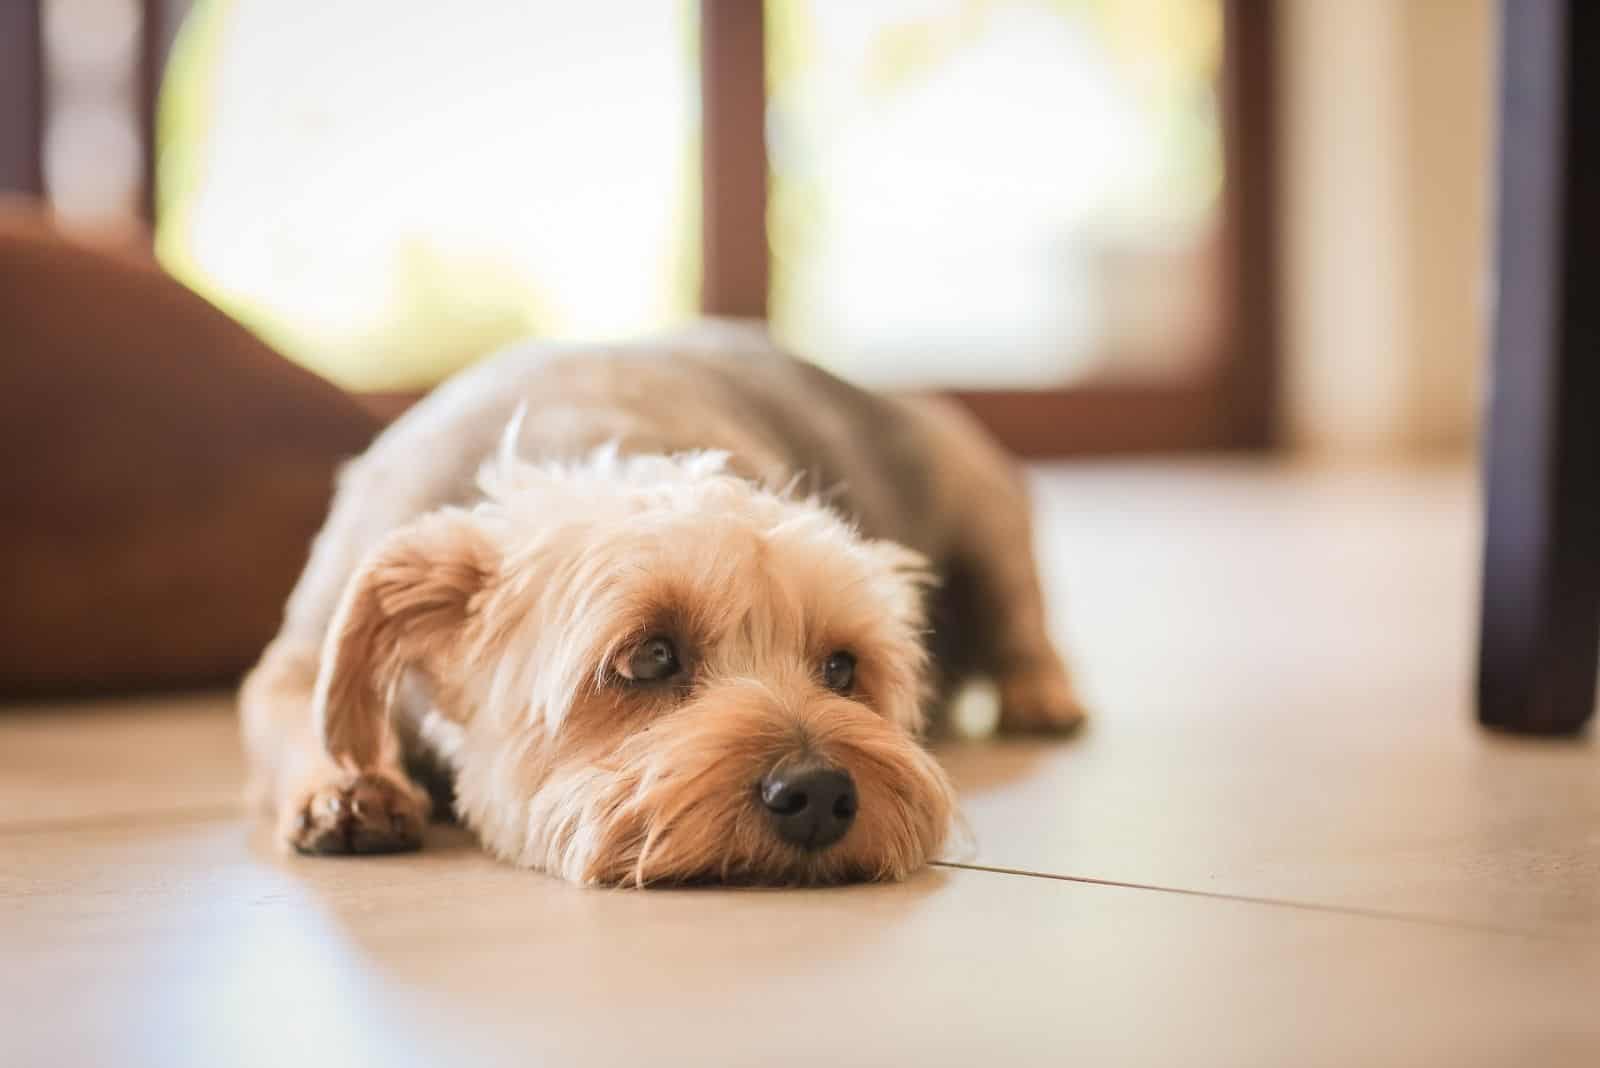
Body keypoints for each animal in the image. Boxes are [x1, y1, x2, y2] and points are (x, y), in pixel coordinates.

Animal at [240, 321, 1088, 888]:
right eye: (650, 656)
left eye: (843, 667)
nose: (820, 792)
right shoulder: (304, 650)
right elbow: (304, 710)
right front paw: (347, 787)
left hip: (986, 509)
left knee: (1025, 618)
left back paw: (1042, 695)